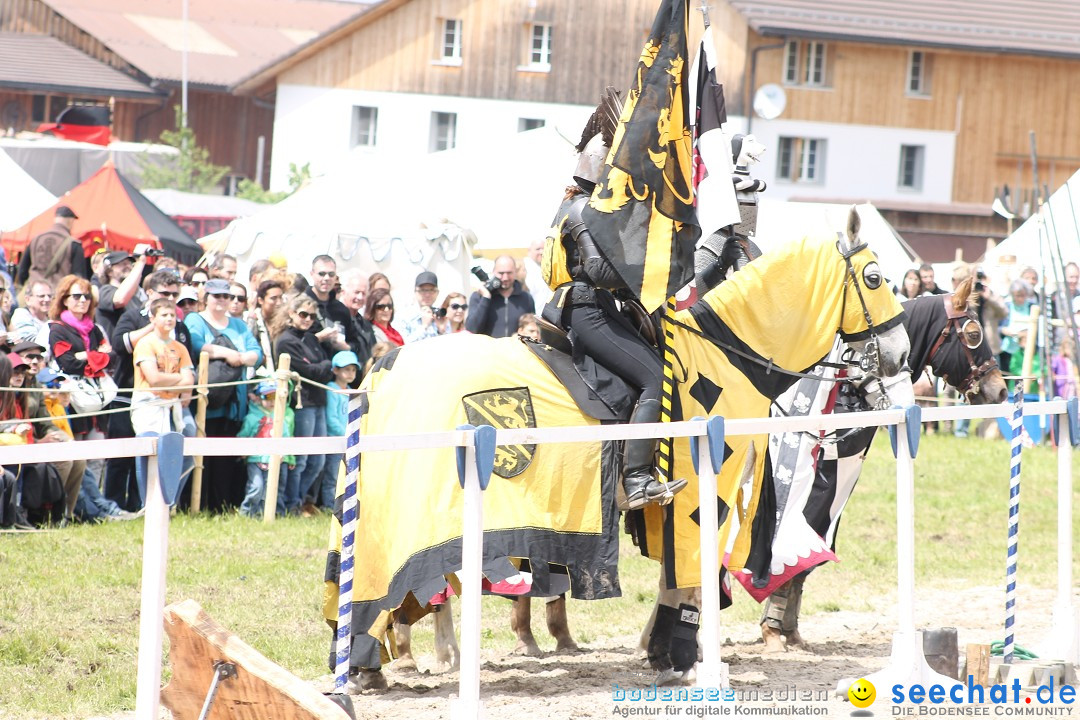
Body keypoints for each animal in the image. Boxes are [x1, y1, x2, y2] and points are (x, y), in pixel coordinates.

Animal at [324, 208, 907, 686]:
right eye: (875, 277)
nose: (900, 354)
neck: (726, 358)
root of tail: (388, 367)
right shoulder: (702, 496)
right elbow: (690, 577)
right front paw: (679, 654)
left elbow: (678, 576)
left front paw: (662, 649)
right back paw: (407, 658)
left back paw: (379, 663)